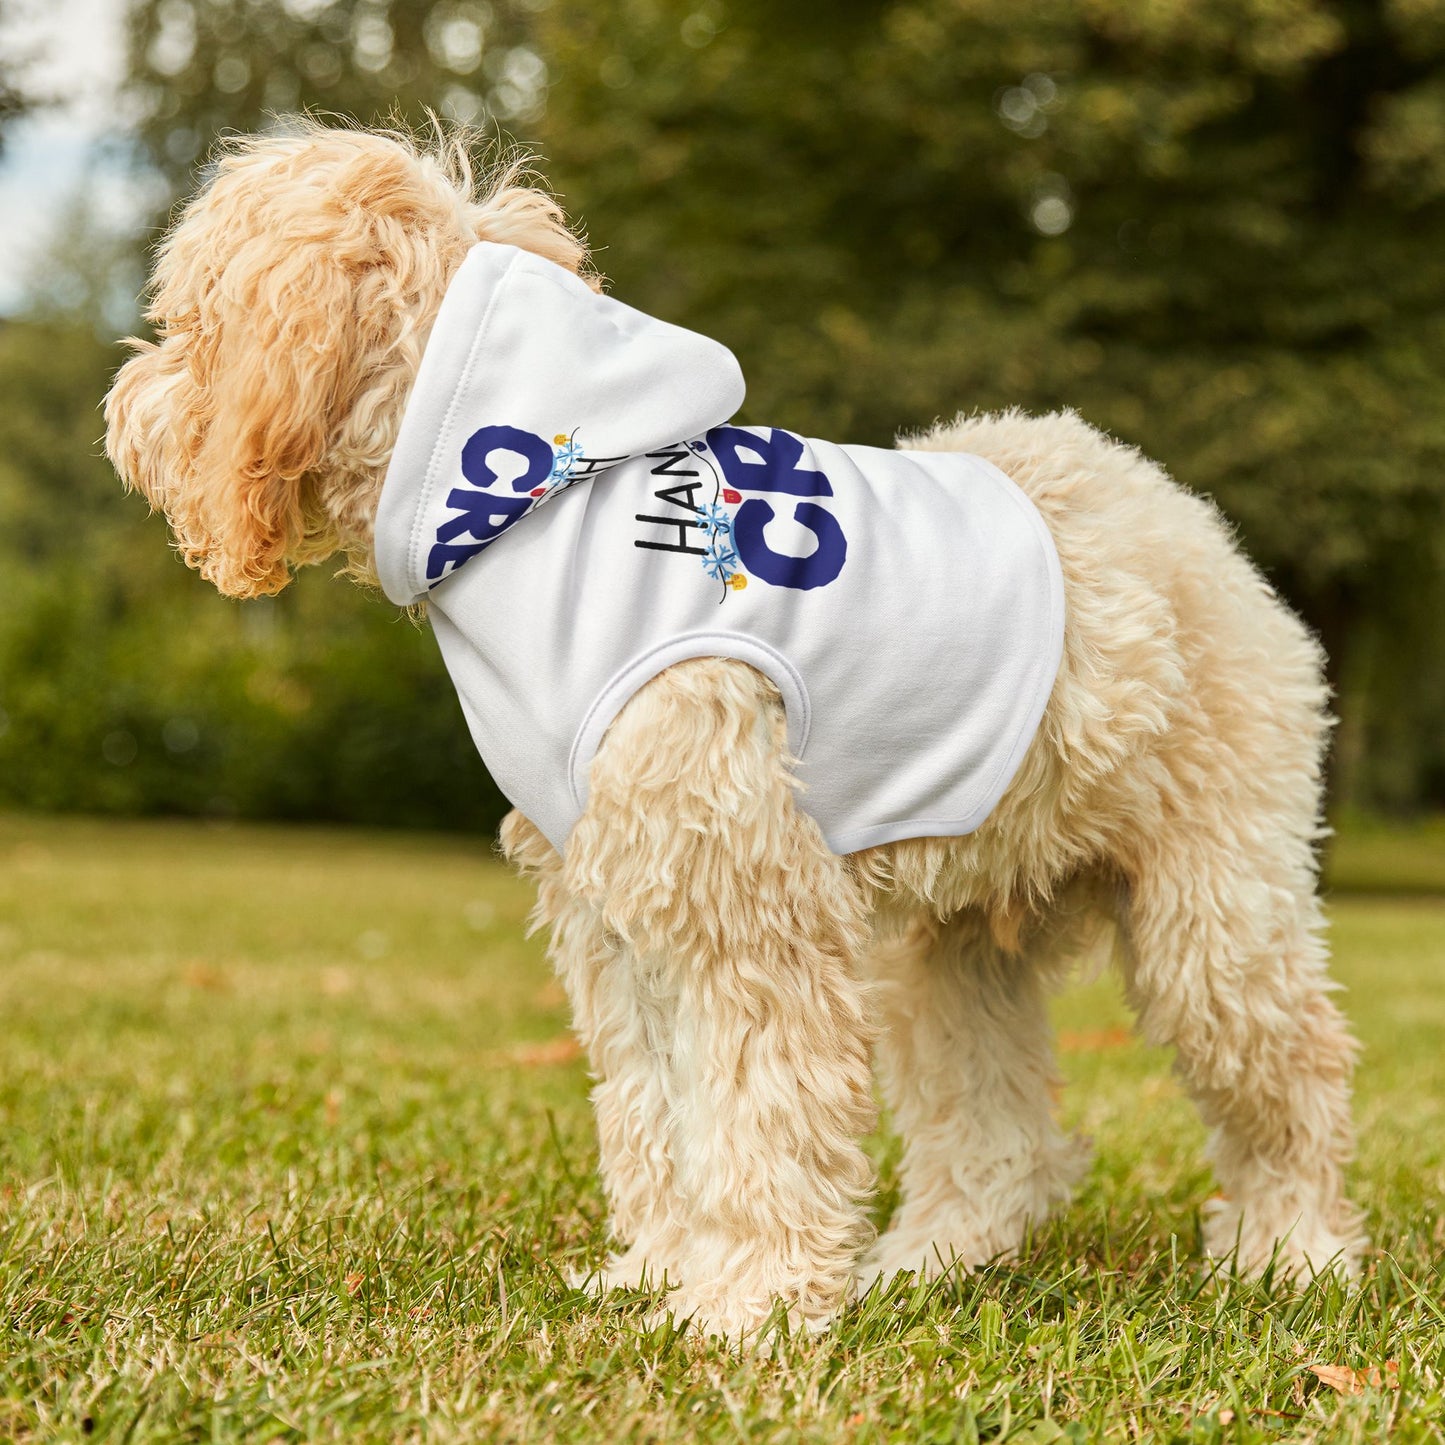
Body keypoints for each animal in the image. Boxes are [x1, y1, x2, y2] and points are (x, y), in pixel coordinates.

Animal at [104, 127, 1364, 1340]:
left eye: (191, 319)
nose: (124, 405)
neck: (534, 498)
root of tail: (1184, 518)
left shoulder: (744, 905)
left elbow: (760, 1110)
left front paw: (748, 1304)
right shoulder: (617, 911)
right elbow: (656, 1111)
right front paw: (661, 1272)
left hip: (1211, 912)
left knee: (1293, 1074)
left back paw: (1290, 1251)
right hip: (950, 946)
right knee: (996, 1133)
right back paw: (929, 1260)